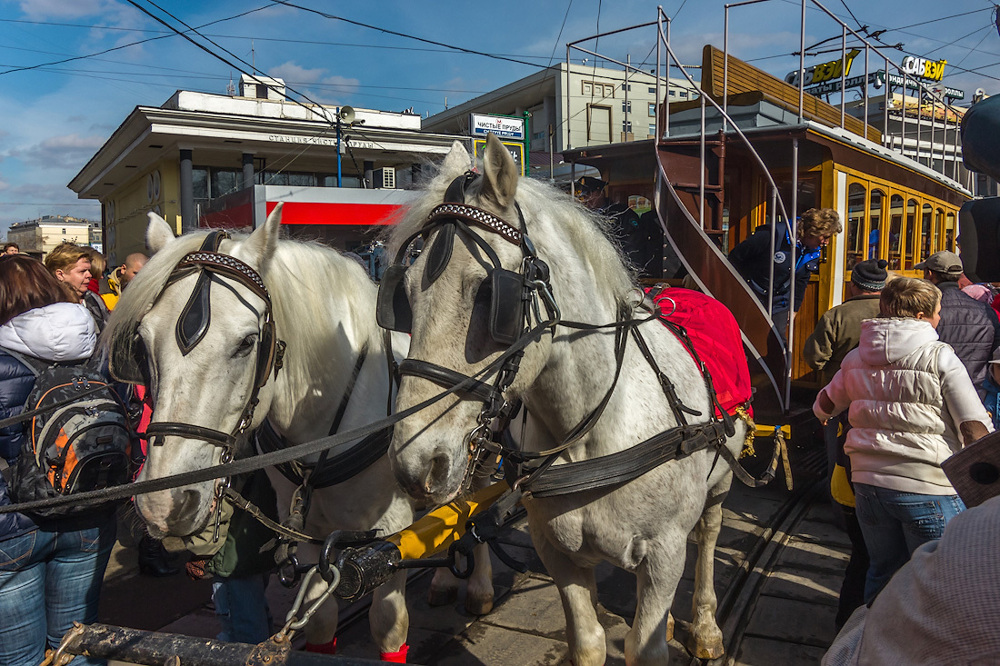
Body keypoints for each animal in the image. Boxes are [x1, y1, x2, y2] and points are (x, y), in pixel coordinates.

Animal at [101, 210, 414, 656]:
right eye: (142, 343)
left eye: (248, 342)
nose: (164, 504)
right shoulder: (308, 534)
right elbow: (320, 622)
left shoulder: (394, 533)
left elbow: (389, 625)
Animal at [386, 135, 748, 664]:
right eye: (405, 295)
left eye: (488, 295)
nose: (414, 465)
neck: (595, 432)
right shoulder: (557, 552)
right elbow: (588, 641)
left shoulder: (664, 555)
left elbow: (646, 644)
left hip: (719, 484)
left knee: (708, 535)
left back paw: (704, 625)